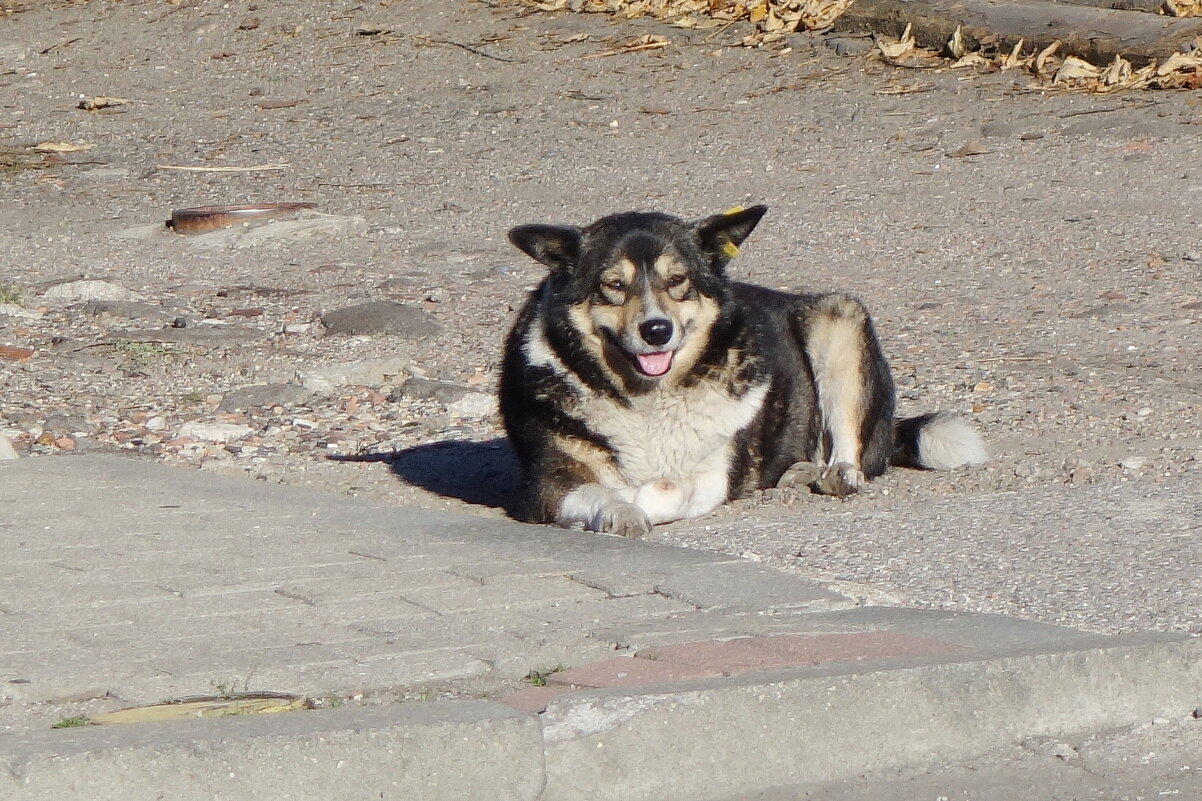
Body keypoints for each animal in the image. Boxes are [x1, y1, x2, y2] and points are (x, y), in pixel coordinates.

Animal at [497, 203, 985, 536]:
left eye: (678, 281)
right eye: (613, 285)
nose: (656, 330)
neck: (649, 399)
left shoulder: (716, 472)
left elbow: (669, 490)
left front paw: (639, 500)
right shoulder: (548, 483)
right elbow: (600, 491)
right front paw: (619, 509)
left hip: (840, 318)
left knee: (852, 450)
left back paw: (833, 474)